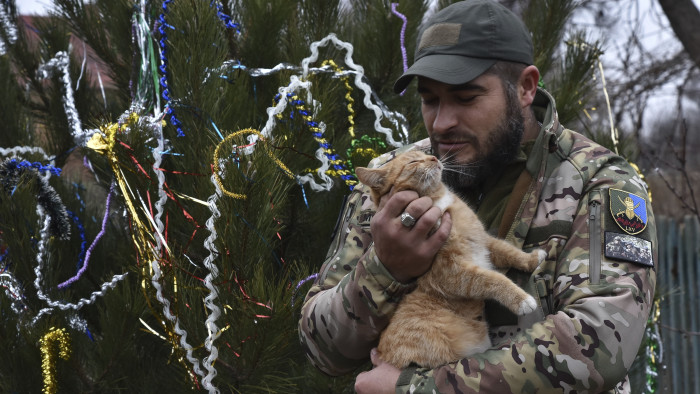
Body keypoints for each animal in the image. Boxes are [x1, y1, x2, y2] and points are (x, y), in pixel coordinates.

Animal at [356, 149, 548, 370]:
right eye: (414, 161)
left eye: (423, 154)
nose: (434, 158)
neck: (438, 201)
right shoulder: (451, 272)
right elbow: (492, 279)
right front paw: (522, 300)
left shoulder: (483, 241)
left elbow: (508, 251)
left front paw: (532, 259)